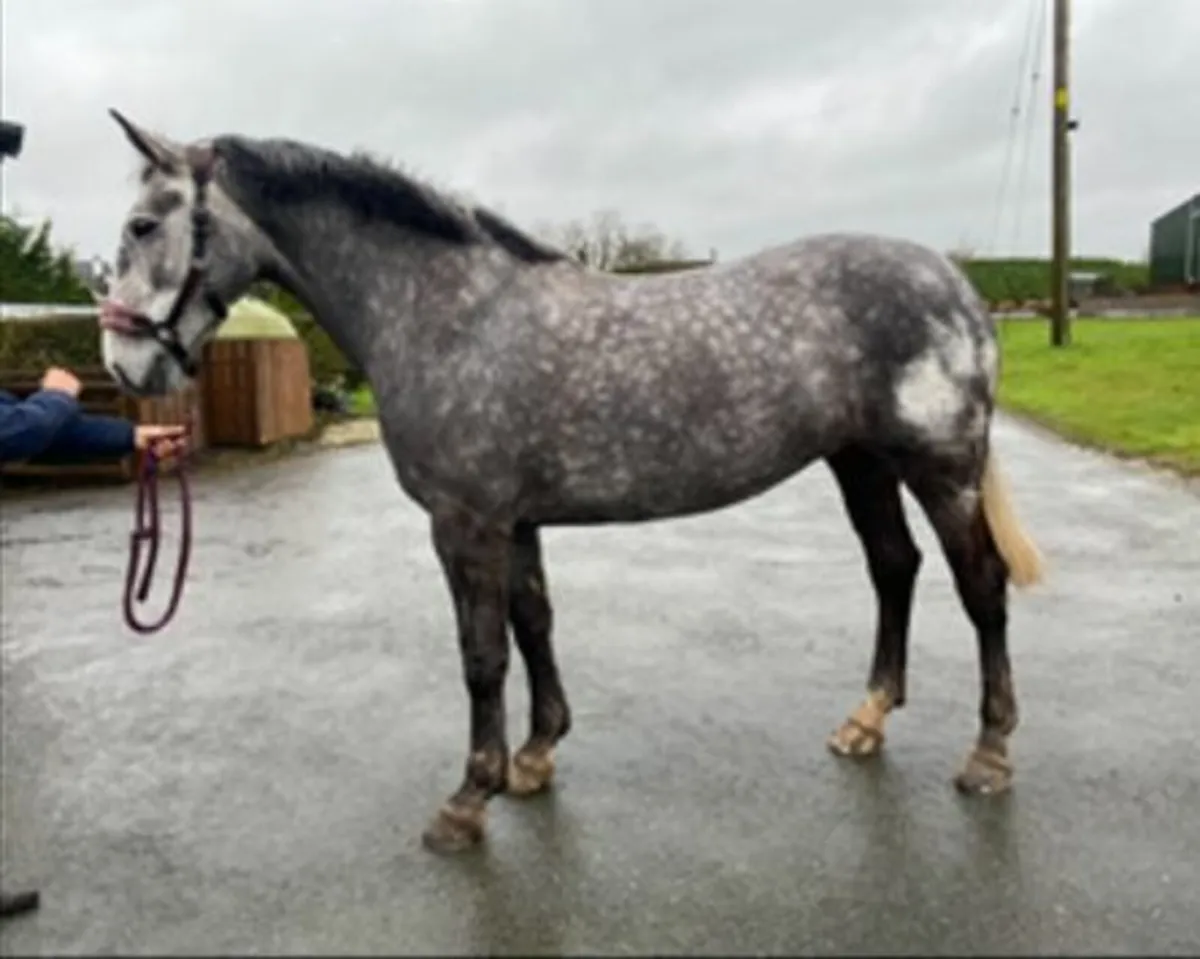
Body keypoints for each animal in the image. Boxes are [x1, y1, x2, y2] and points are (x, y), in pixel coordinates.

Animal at [98, 109, 1044, 854]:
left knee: (980, 585)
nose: (124, 363)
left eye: (143, 225)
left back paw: (990, 754)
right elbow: (535, 624)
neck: (448, 312)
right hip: (860, 462)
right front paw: (536, 755)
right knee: (894, 567)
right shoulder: (513, 521)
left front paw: (468, 798)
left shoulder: (466, 522)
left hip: (940, 467)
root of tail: (957, 284)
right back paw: (867, 718)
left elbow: (482, 653)